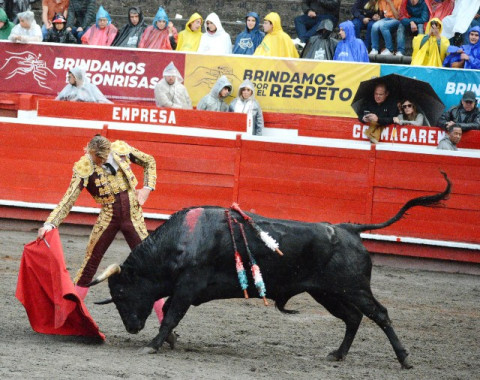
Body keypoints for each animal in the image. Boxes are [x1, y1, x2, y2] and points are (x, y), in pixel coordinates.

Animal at [89, 173, 450, 368]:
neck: (182, 240)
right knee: (353, 317)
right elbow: (170, 315)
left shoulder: (187, 288)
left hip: (355, 288)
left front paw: (152, 344)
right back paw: (337, 354)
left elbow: (171, 315)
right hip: (327, 293)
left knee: (380, 314)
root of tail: (349, 228)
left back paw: (404, 359)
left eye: (121, 292)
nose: (132, 327)